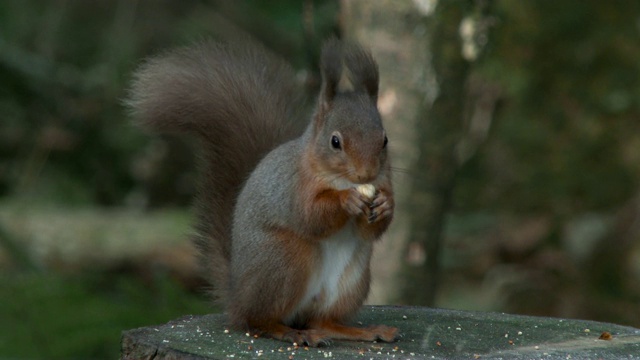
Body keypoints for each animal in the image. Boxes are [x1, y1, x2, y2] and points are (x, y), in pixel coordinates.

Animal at [127, 38, 398, 346]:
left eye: (384, 140)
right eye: (335, 141)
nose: (366, 174)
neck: (338, 179)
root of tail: (237, 297)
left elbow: (370, 231)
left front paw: (385, 205)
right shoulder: (293, 187)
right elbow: (311, 217)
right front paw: (346, 200)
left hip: (351, 282)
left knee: (322, 320)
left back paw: (362, 331)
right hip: (284, 260)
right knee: (258, 321)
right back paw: (290, 332)